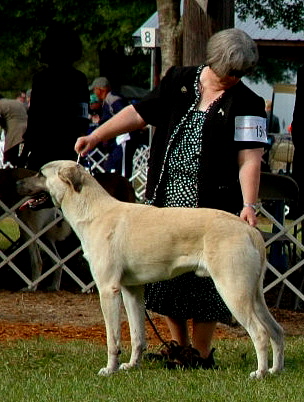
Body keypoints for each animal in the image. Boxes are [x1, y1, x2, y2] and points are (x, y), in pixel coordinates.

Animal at [15, 159, 284, 376]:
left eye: (40, 173)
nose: (16, 183)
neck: (94, 212)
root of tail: (248, 229)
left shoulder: (108, 290)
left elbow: (113, 339)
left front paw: (110, 370)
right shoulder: (131, 290)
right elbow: (137, 336)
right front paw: (132, 366)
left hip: (233, 291)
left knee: (261, 333)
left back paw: (260, 373)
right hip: (253, 294)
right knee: (277, 331)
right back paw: (275, 371)